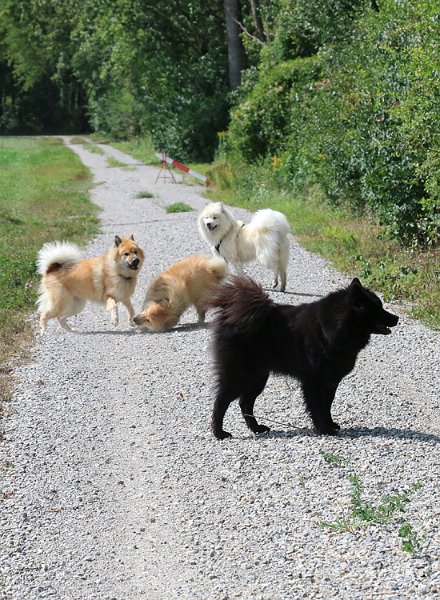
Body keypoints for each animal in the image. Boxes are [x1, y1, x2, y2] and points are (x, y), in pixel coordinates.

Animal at [210, 276, 398, 440]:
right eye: (378, 307)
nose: (397, 318)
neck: (333, 329)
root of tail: (231, 313)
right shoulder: (312, 381)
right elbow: (317, 407)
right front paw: (324, 429)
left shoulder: (330, 381)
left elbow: (327, 406)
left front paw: (330, 424)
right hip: (239, 375)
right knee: (221, 401)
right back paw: (219, 433)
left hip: (259, 377)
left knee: (245, 402)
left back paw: (257, 428)